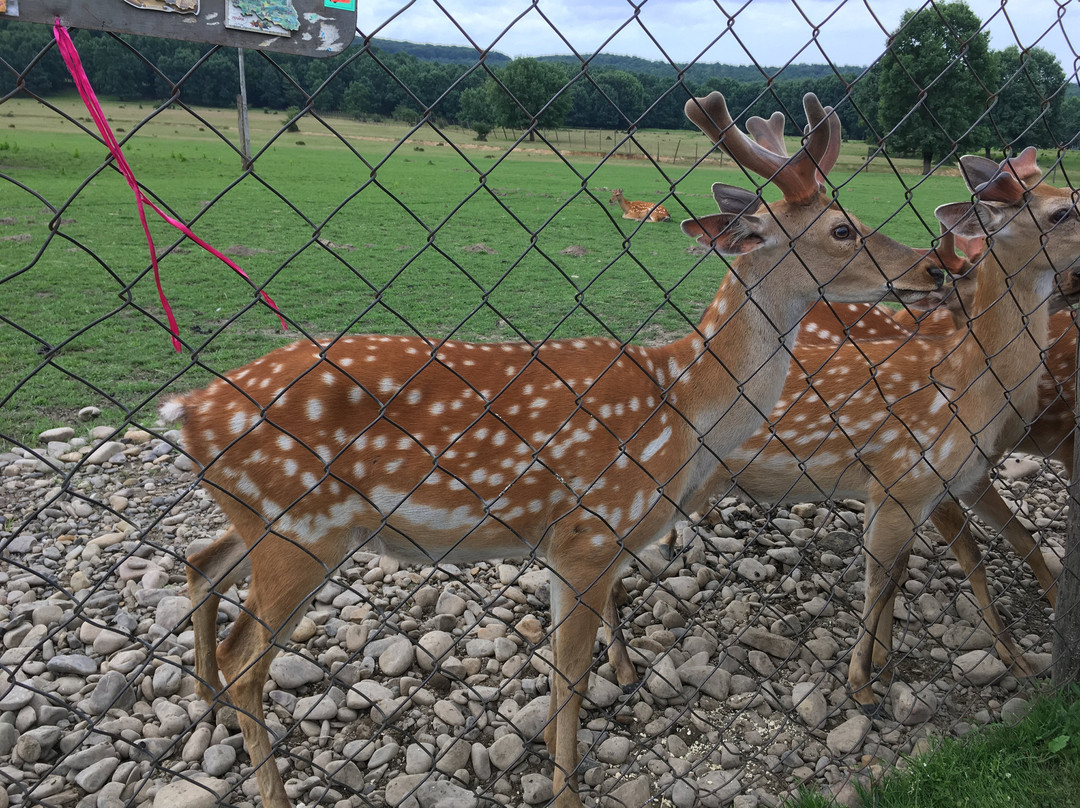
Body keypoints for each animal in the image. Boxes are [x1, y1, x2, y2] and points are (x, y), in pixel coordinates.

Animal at [162, 90, 946, 808]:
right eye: (842, 228)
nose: (934, 269)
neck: (684, 407)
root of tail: (186, 409)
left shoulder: (576, 542)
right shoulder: (589, 533)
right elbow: (569, 674)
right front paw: (566, 786)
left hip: (265, 520)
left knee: (200, 563)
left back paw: (205, 706)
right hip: (300, 528)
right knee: (244, 658)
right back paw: (262, 776)